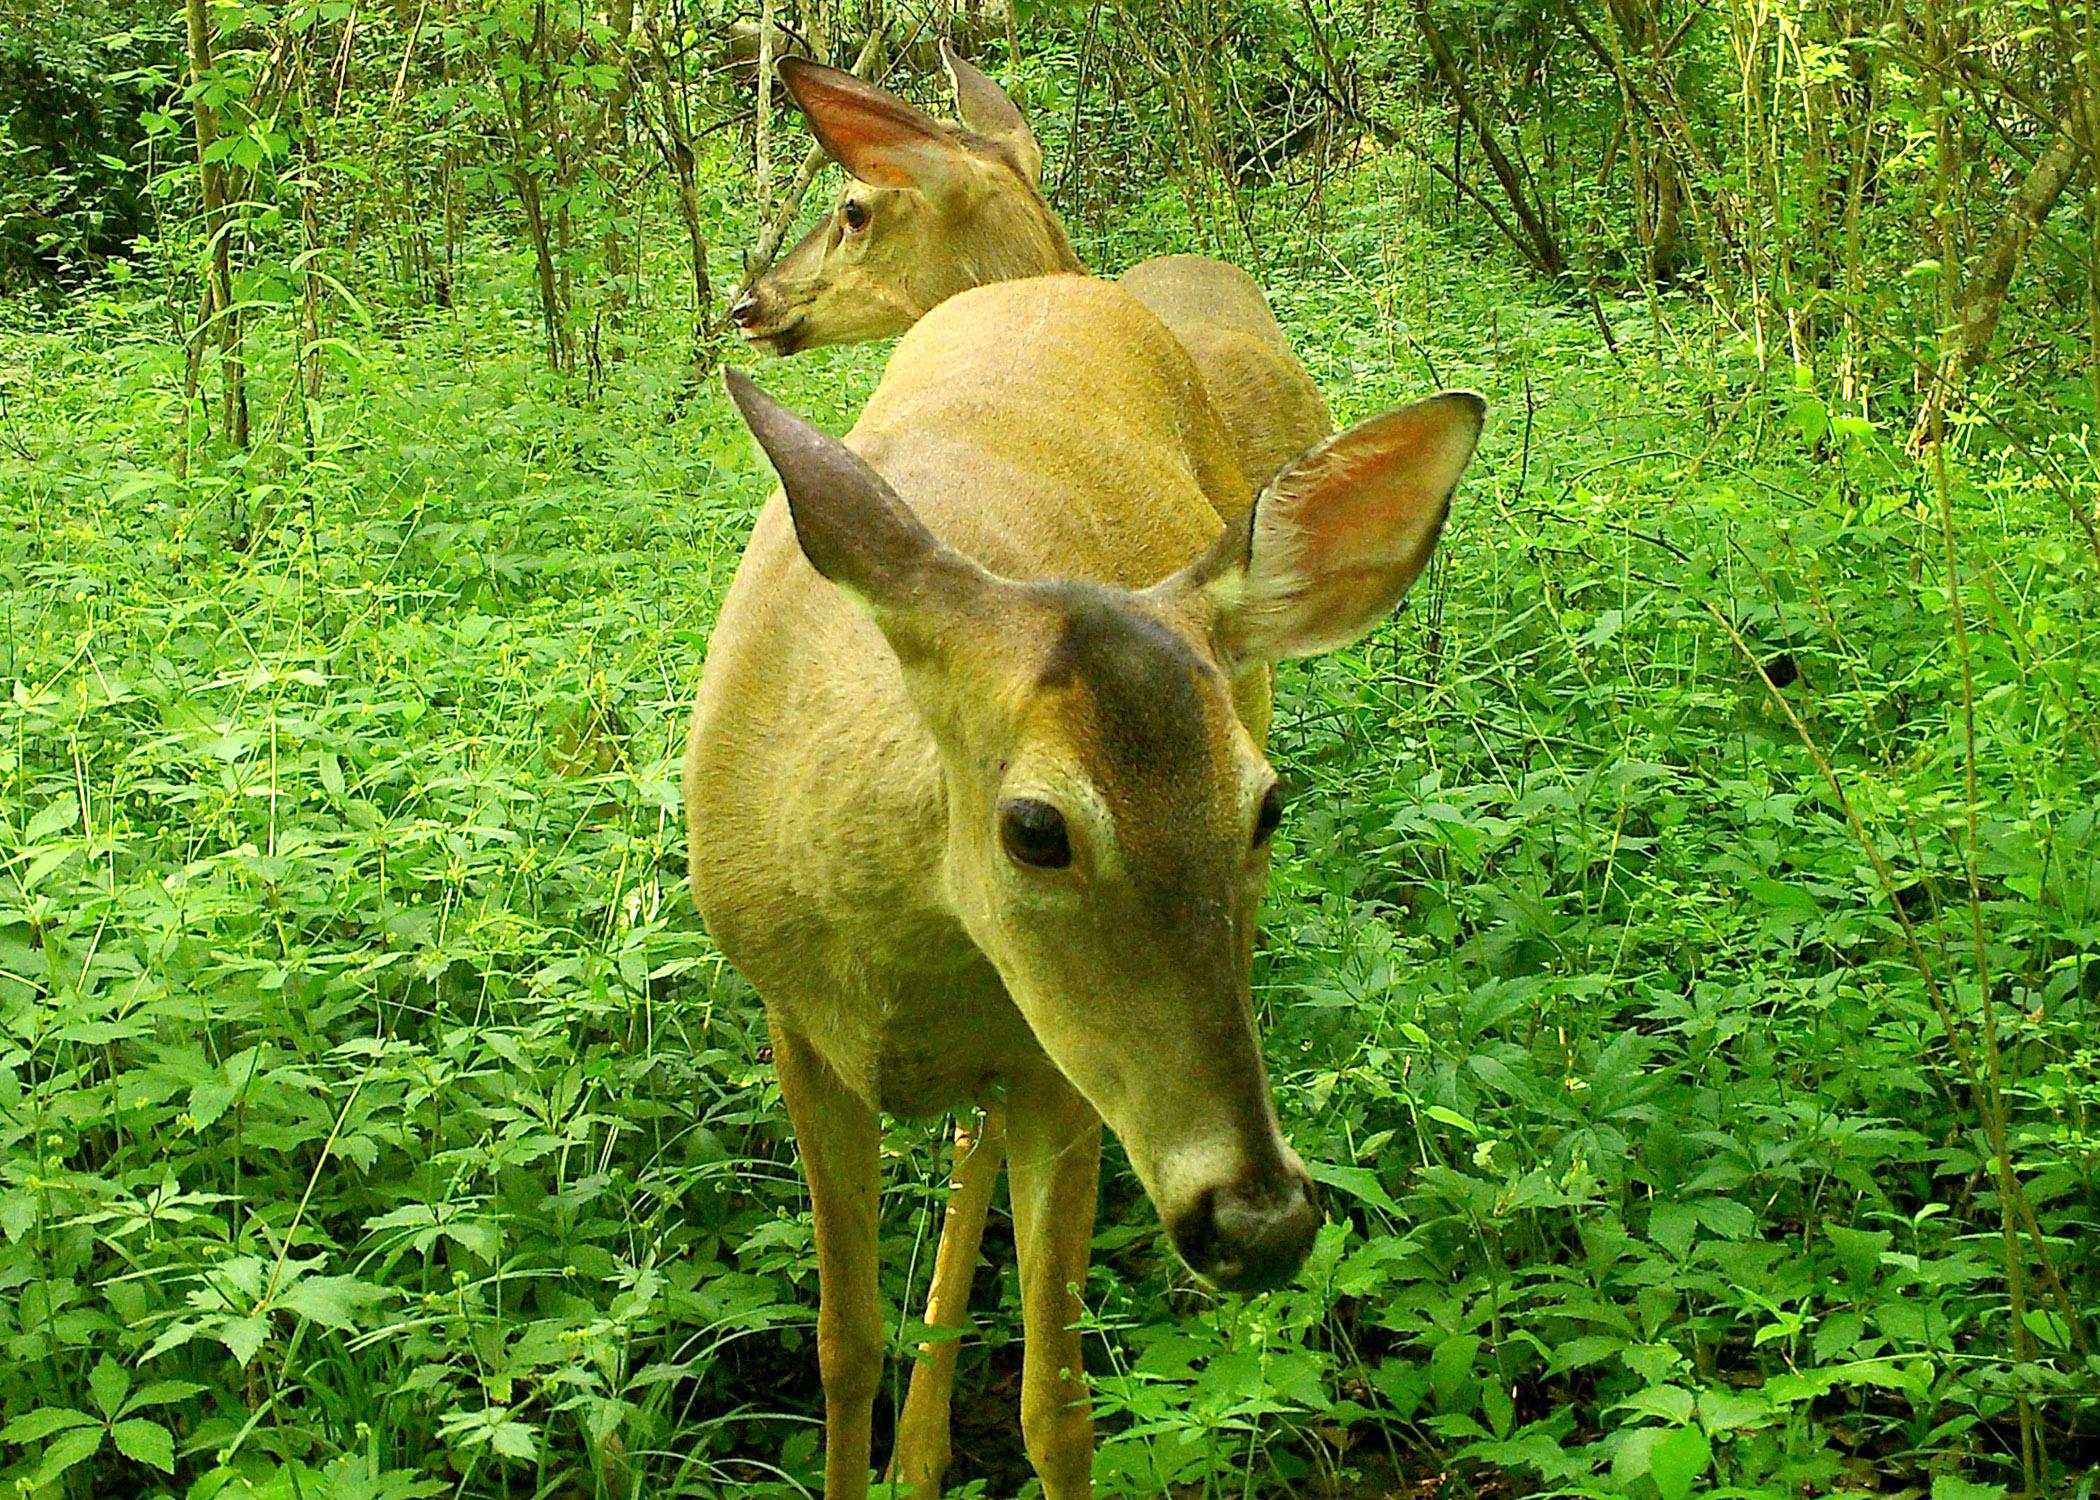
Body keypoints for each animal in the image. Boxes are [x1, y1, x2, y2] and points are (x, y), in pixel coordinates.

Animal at [688, 271, 1478, 1495]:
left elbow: (1056, 1405)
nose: (1260, 1224)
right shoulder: (795, 1026)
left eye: (1268, 807)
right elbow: (842, 1344)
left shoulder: (1057, 1068)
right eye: (1035, 827)